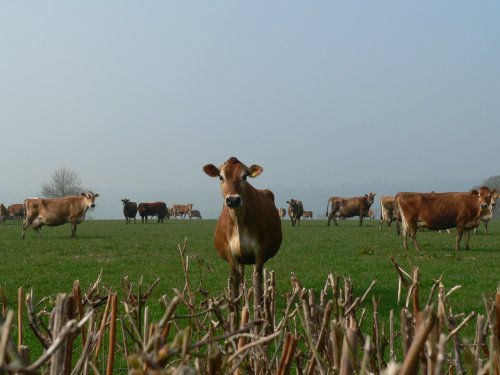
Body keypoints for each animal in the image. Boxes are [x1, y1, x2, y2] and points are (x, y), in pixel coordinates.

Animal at [202, 156, 282, 306]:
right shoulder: (230, 252)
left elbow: (257, 280)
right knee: (241, 276)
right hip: (241, 259)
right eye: (220, 177)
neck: (239, 222)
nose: (233, 200)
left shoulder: (260, 250)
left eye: (244, 176)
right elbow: (235, 281)